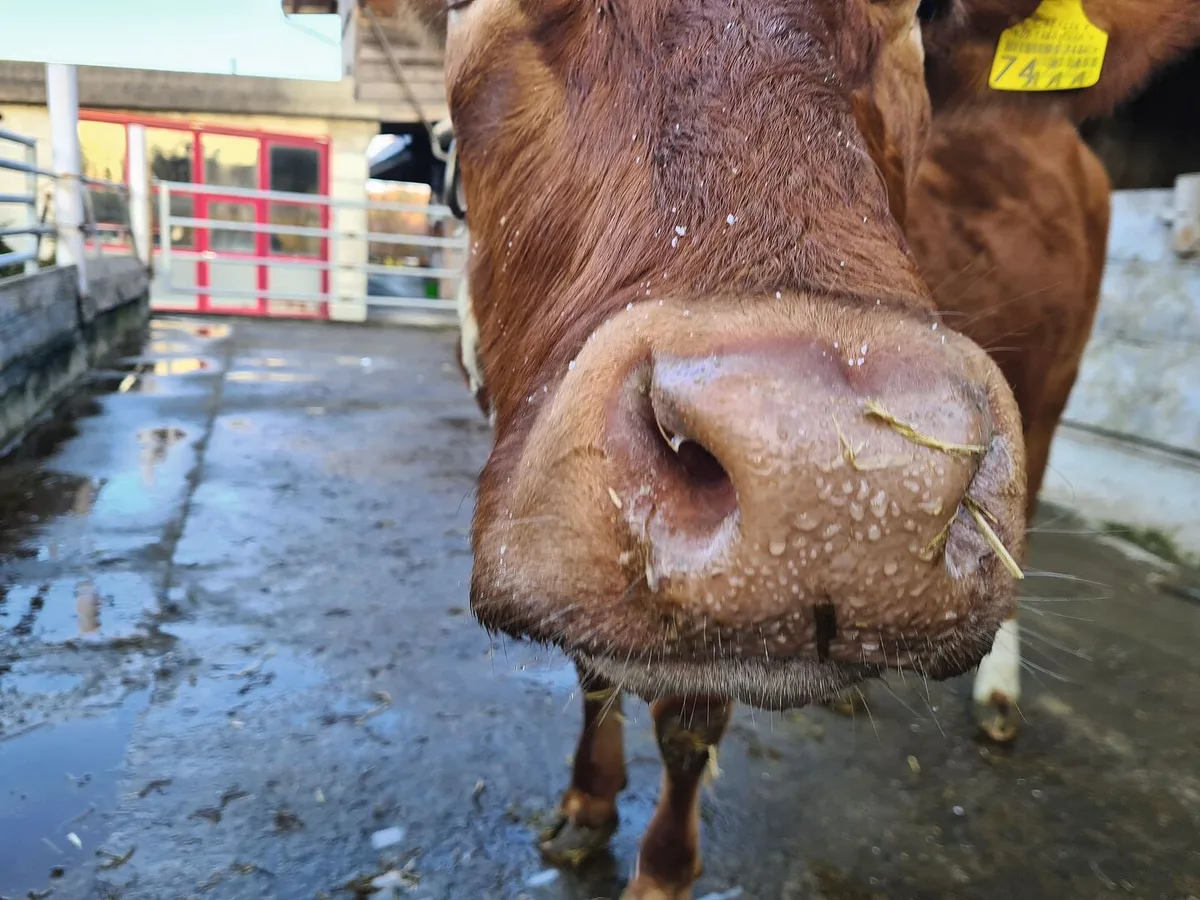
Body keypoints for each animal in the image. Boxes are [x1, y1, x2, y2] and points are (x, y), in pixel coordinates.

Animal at [420, 0, 1199, 896]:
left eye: (926, 12)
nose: (835, 485)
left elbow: (688, 725)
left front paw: (662, 870)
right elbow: (592, 672)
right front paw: (586, 803)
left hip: (1051, 391)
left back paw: (999, 695)